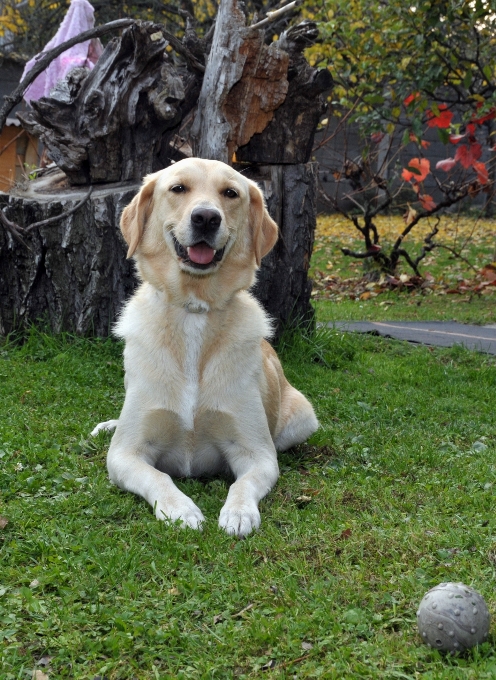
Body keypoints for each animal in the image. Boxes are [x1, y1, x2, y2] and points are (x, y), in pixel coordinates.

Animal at [92, 157, 318, 532]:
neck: (194, 310)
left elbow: (243, 483)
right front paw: (181, 509)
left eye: (230, 193)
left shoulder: (257, 454)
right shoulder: (125, 454)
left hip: (303, 418)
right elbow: (159, 478)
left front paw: (238, 513)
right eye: (178, 188)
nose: (206, 218)